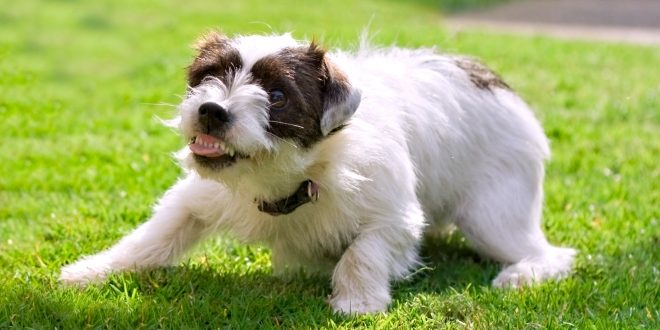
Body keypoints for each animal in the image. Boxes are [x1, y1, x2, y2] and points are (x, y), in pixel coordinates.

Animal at [62, 32, 576, 314]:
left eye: (277, 96)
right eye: (209, 76)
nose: (210, 110)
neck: (290, 178)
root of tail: (497, 82)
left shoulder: (395, 218)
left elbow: (362, 253)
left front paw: (356, 302)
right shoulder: (194, 201)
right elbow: (149, 240)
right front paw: (92, 270)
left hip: (492, 218)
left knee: (553, 254)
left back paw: (521, 274)